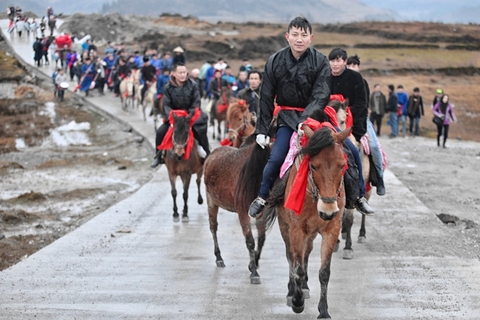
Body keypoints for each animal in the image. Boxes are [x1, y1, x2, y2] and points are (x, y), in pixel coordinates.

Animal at [202, 134, 270, 284]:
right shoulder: (242, 211)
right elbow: (250, 241)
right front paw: (254, 272)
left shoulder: (261, 212)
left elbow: (261, 238)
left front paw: (253, 264)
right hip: (211, 201)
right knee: (213, 227)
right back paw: (219, 258)